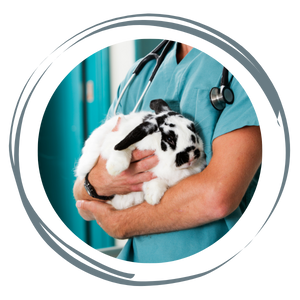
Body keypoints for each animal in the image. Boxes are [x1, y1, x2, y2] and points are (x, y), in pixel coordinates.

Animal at [75, 99, 206, 210]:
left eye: (193, 128)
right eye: (169, 138)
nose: (192, 155)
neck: (163, 158)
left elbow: (157, 180)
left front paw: (152, 197)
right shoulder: (115, 140)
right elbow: (121, 149)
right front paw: (115, 168)